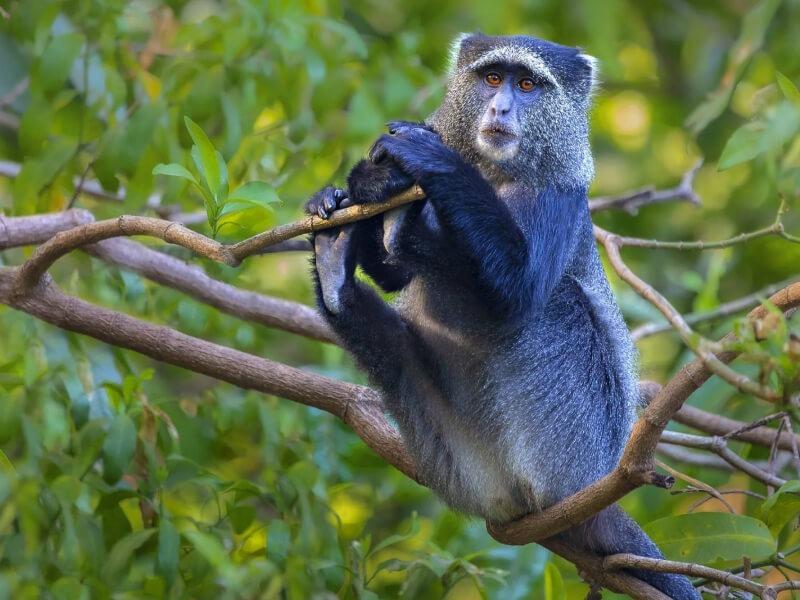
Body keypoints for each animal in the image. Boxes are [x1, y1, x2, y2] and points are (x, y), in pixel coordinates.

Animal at [306, 33, 699, 599]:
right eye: (493, 79)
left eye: (528, 85)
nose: (501, 108)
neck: (494, 173)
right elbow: (394, 276)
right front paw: (367, 185)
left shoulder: (558, 196)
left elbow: (517, 290)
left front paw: (425, 158)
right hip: (460, 457)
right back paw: (336, 265)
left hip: (574, 451)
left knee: (560, 304)